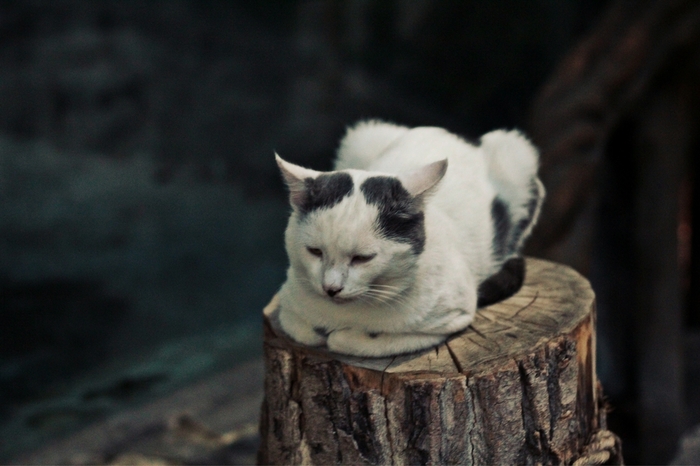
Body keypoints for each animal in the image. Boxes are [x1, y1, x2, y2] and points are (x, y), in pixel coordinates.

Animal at [272, 120, 540, 356]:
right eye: (315, 251)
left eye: (362, 258)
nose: (331, 289)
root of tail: (449, 132)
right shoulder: (287, 305)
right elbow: (304, 331)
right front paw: (321, 332)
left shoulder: (452, 319)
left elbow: (360, 342)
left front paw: (343, 336)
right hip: (362, 135)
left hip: (518, 156)